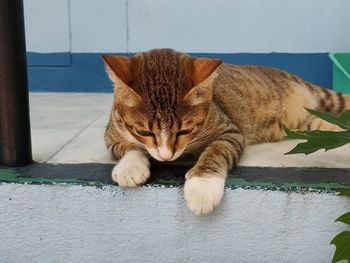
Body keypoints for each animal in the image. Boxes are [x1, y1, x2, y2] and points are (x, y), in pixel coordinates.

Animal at [101, 48, 348, 216]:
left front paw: (202, 187)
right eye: (144, 132)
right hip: (307, 125)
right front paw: (130, 167)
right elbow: (128, 146)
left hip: (324, 99)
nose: (166, 156)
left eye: (185, 130)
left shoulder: (230, 131)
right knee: (323, 129)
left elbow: (216, 151)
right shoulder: (111, 135)